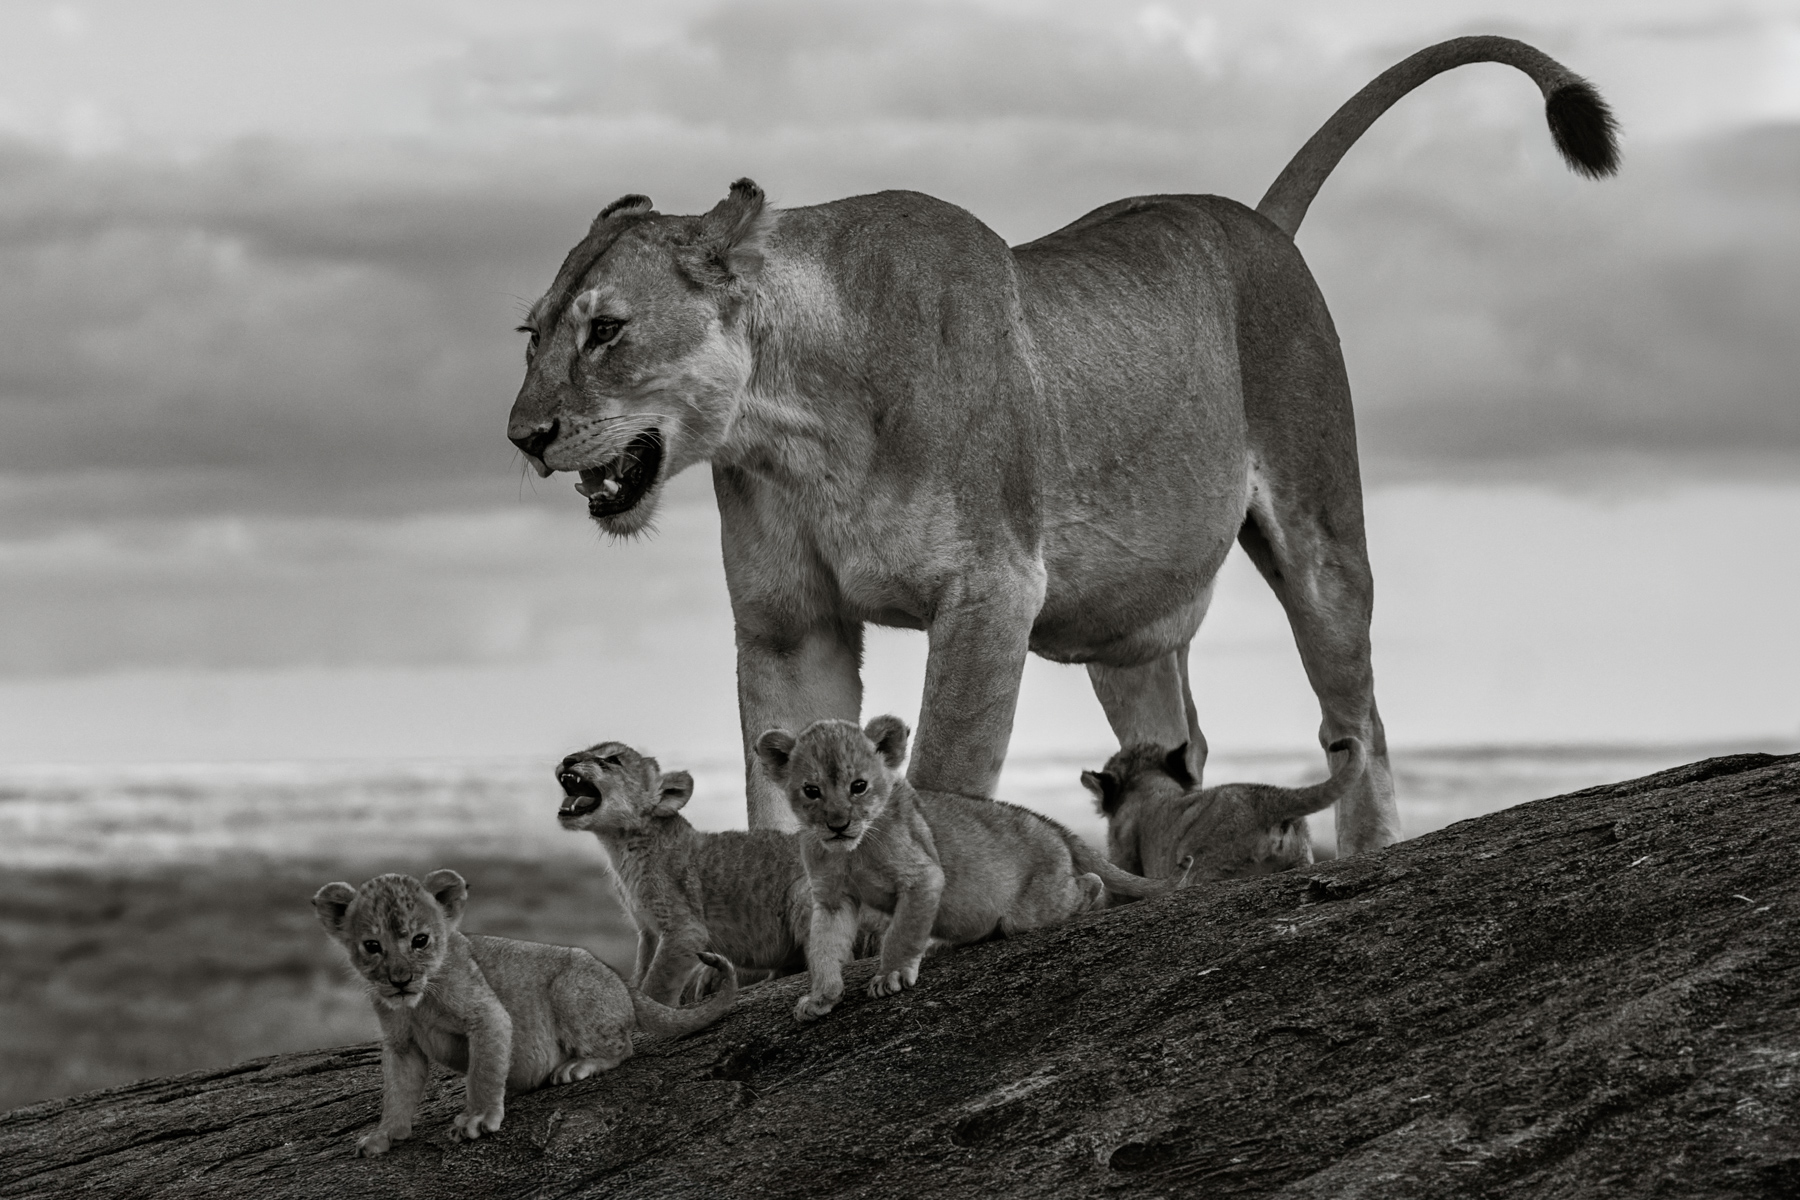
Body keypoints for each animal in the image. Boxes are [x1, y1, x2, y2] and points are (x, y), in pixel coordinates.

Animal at [312, 869, 736, 1157]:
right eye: (372, 946)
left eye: (420, 940)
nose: (400, 980)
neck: (418, 1002)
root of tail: (622, 982)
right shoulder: (402, 1044)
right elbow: (397, 1092)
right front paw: (384, 1135)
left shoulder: (487, 1015)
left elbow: (483, 1072)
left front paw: (477, 1118)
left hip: (571, 986)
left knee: (623, 1046)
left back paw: (575, 1067)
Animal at [506, 36, 1619, 856]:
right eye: (532, 334)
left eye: (607, 331)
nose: (523, 435)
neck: (791, 423)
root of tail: (1255, 219)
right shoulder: (788, 625)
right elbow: (777, 784)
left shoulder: (990, 586)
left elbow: (943, 771)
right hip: (1132, 633)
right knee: (1177, 743)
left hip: (1320, 536)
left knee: (1360, 719)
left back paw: (1369, 852)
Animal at [755, 714, 1171, 1021]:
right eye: (811, 791)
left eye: (859, 786)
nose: (837, 825)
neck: (851, 851)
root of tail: (1049, 822)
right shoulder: (831, 898)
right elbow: (823, 947)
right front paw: (821, 998)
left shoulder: (922, 876)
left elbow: (901, 932)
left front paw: (891, 975)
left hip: (1031, 908)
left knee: (1088, 884)